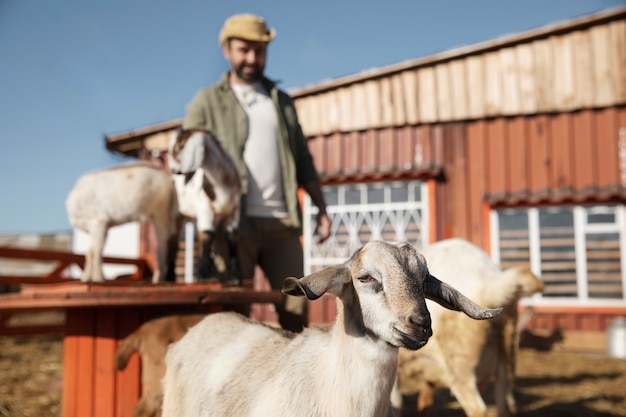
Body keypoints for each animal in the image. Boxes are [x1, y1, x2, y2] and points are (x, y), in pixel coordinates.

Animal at [166, 128, 241, 282]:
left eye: (178, 148)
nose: (173, 170)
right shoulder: (205, 209)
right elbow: (208, 235)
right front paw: (203, 274)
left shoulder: (234, 210)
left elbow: (232, 236)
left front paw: (236, 275)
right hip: (174, 215)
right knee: (173, 241)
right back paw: (170, 277)